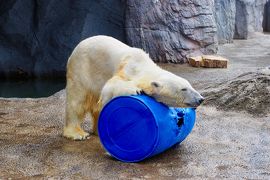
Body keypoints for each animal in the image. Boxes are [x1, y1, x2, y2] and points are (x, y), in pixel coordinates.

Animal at [62, 34, 202, 139]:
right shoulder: (126, 69)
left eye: (190, 85)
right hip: (82, 68)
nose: (200, 99)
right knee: (77, 100)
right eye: (183, 89)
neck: (142, 65)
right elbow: (110, 87)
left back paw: (97, 131)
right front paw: (135, 89)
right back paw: (77, 133)